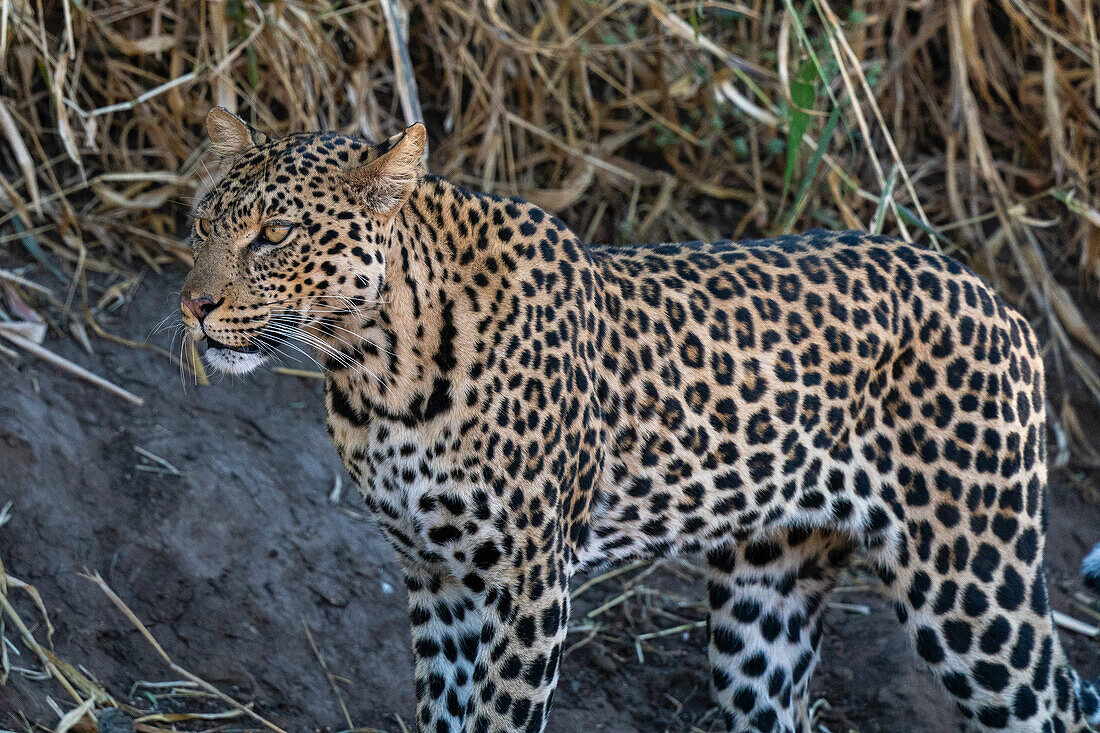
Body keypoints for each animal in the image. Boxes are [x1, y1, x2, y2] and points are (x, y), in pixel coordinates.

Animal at [176, 105, 1095, 726]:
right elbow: (445, 711)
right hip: (766, 605)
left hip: (974, 585)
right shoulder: (436, 576)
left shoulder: (527, 578)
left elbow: (499, 714)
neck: (378, 371)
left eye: (274, 234)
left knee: (1050, 704)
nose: (192, 305)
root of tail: (996, 298)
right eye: (200, 225)